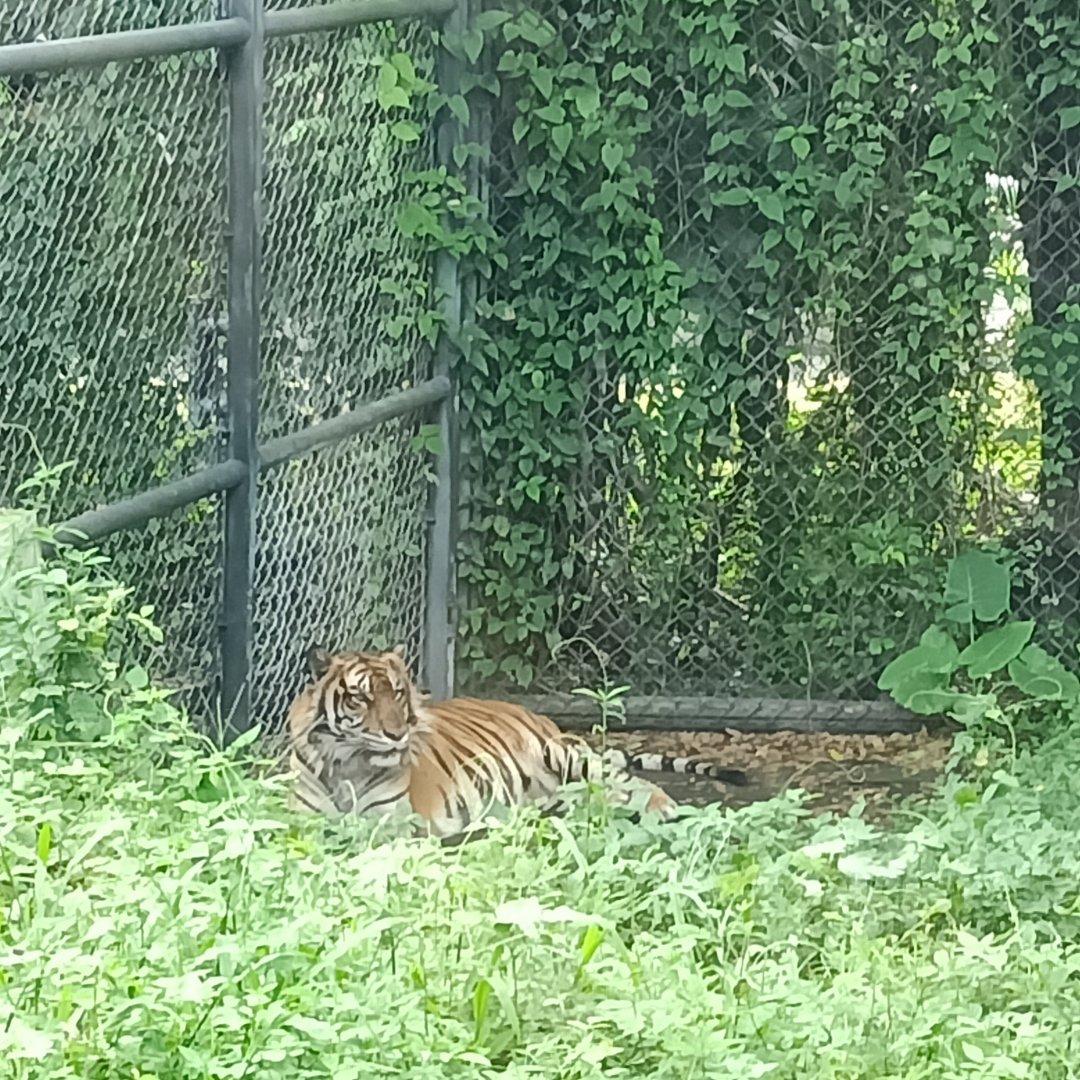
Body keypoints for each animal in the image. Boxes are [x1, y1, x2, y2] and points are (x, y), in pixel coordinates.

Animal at [285, 644, 748, 839]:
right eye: (361, 697)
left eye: (398, 693)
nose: (397, 734)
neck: (346, 763)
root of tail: (531, 711)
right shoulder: (301, 821)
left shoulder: (394, 824)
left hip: (564, 754)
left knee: (631, 783)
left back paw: (662, 807)